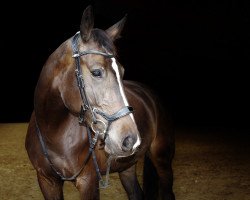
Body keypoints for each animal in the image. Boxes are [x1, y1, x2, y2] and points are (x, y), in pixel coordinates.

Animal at [24, 5, 175, 199]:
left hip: (162, 160)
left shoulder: (89, 181)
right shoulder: (47, 181)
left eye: (122, 71)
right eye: (96, 72)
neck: (53, 133)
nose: (130, 139)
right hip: (126, 166)